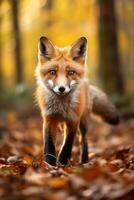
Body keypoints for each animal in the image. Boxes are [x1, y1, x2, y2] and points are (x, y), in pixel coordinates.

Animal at [35, 36, 119, 166]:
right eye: (53, 72)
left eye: (71, 72)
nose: (62, 88)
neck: (61, 106)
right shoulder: (49, 119)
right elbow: (49, 145)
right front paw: (50, 164)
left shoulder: (73, 119)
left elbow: (67, 144)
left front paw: (63, 162)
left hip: (83, 123)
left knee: (83, 140)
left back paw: (84, 161)